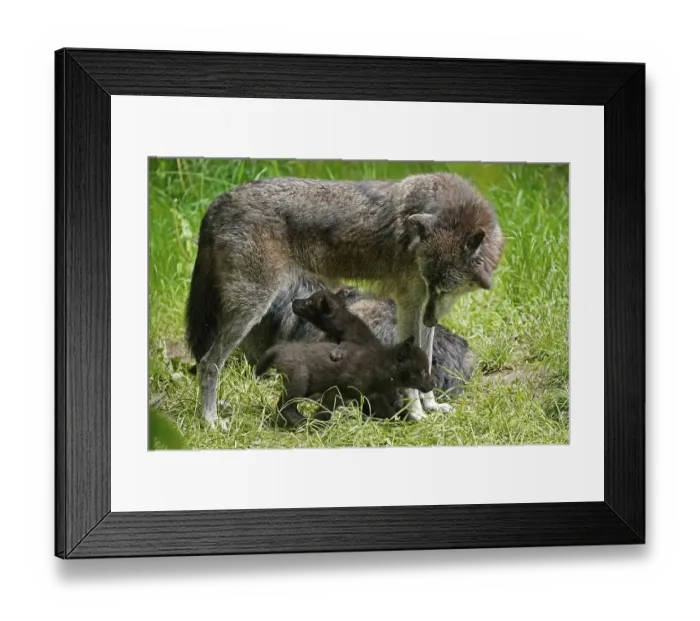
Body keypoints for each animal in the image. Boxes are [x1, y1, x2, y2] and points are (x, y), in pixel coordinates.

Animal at [255, 336, 433, 427]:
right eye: (424, 371)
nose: (432, 386)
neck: (382, 366)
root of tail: (282, 348)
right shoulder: (340, 389)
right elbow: (326, 410)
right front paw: (319, 424)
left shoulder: (372, 396)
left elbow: (387, 411)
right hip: (299, 380)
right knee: (284, 405)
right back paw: (299, 422)